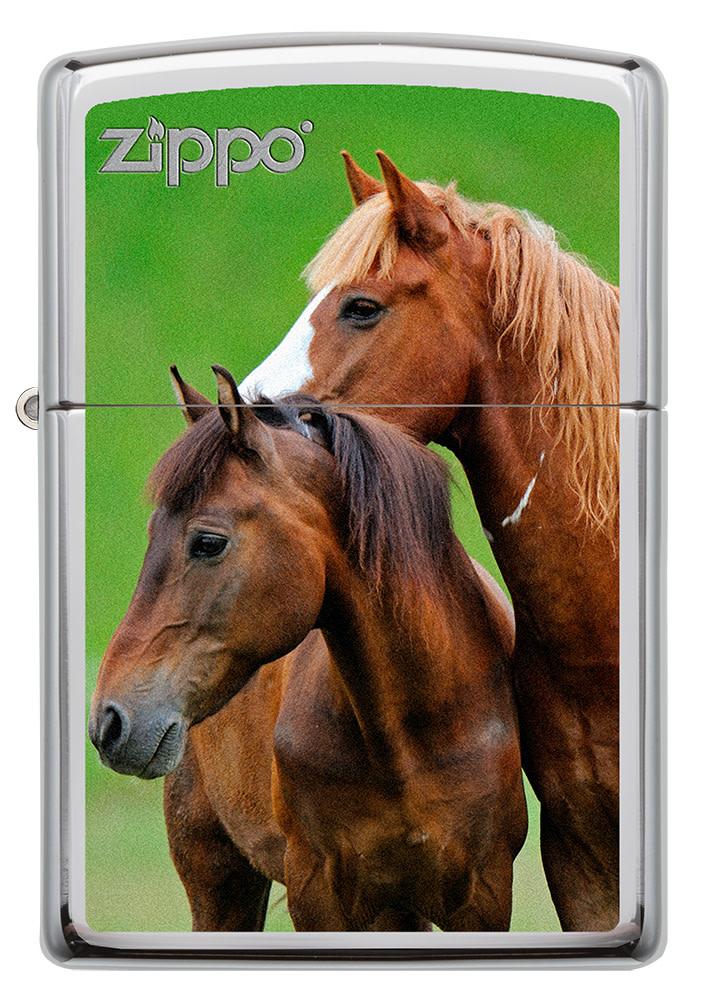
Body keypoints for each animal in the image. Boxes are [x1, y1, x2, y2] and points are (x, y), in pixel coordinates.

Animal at [89, 366, 527, 932]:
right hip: (219, 885)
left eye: (208, 542)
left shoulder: (481, 897)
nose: (110, 721)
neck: (410, 735)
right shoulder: (319, 896)